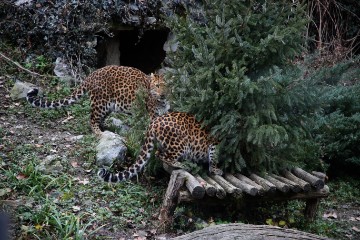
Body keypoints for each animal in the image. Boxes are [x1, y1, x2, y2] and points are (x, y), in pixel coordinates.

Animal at [26, 64, 166, 136]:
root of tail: (91, 75)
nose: (163, 95)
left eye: (166, 86)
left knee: (100, 119)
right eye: (157, 86)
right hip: (100, 102)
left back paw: (108, 129)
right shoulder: (152, 113)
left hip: (108, 105)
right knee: (92, 119)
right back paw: (100, 133)